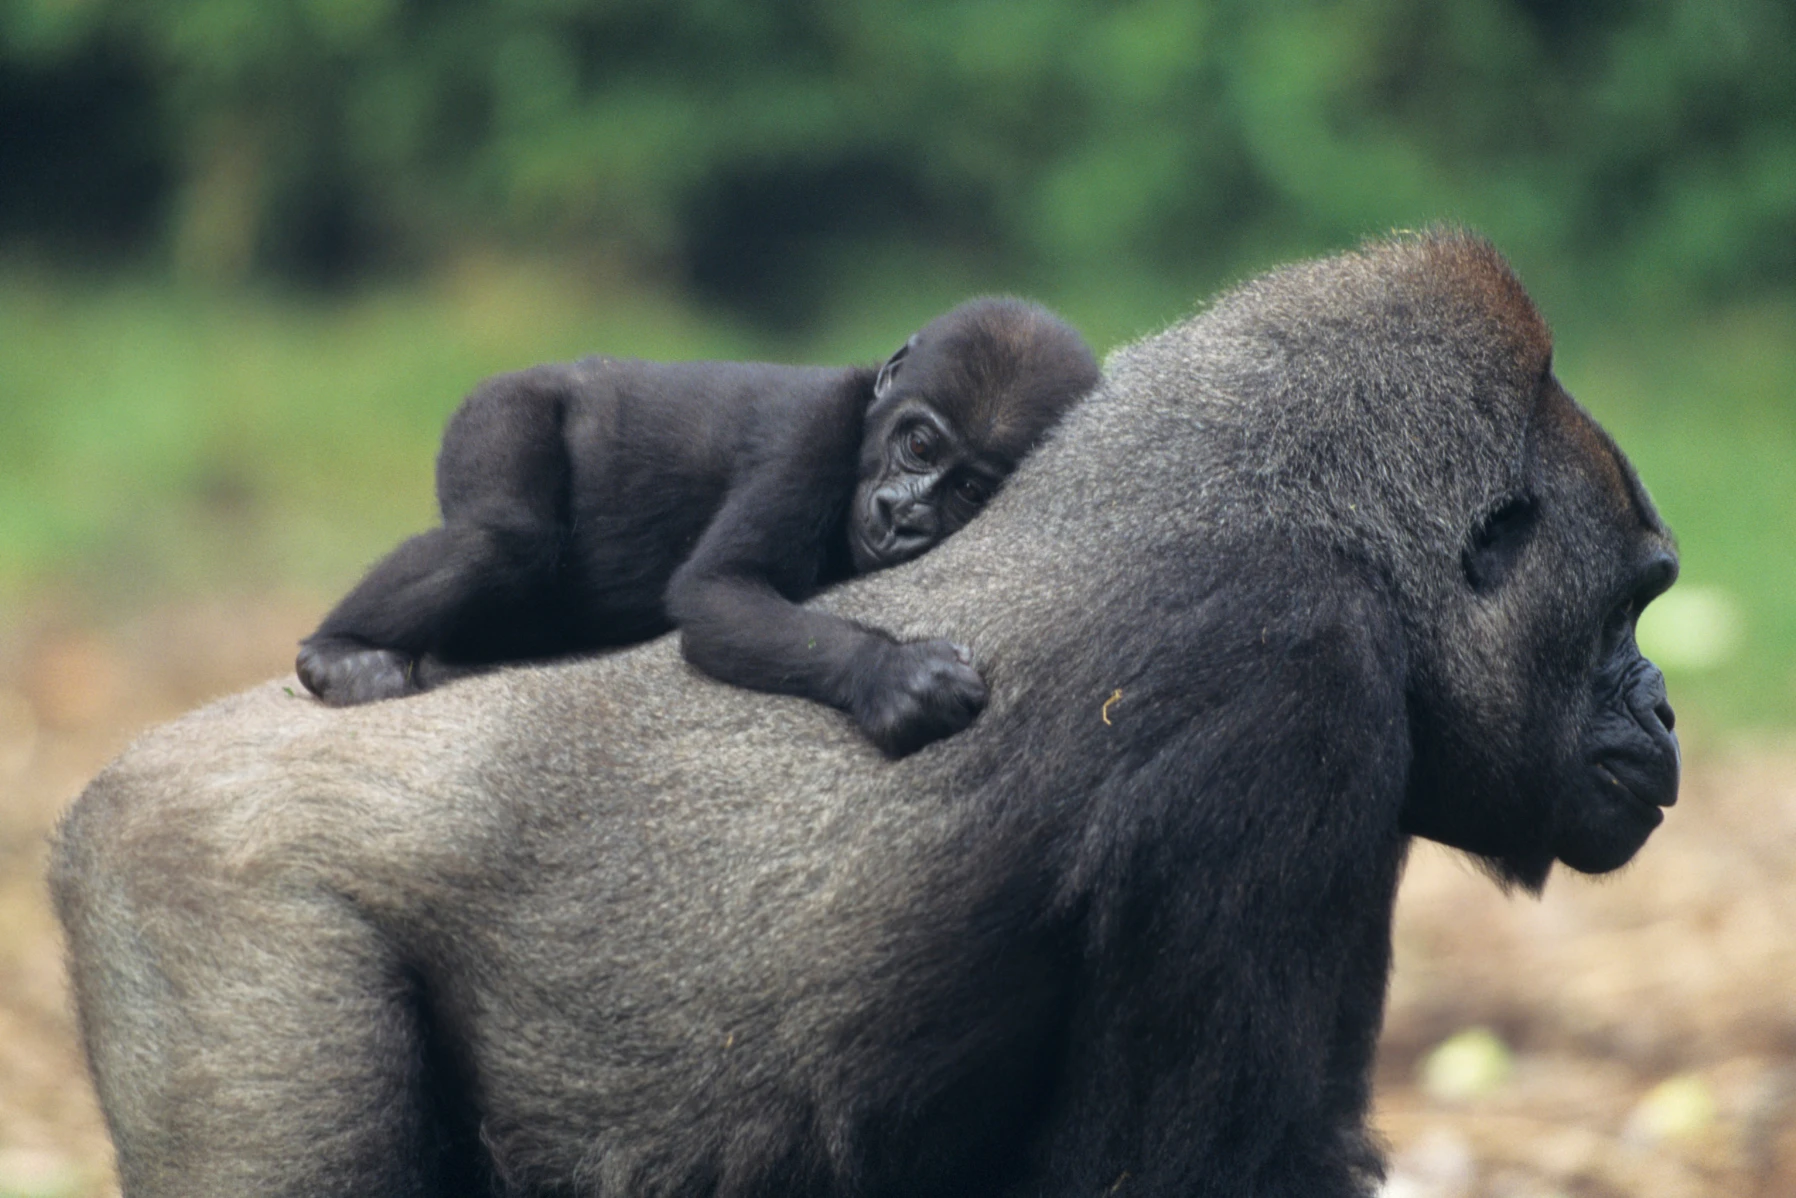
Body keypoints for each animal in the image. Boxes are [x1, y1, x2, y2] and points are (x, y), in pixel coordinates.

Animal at [295, 296, 1100, 757]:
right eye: (921, 445)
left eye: (967, 489)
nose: (902, 514)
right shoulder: (810, 437)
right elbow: (718, 590)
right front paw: (894, 675)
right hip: (499, 405)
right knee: (500, 538)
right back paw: (335, 653)